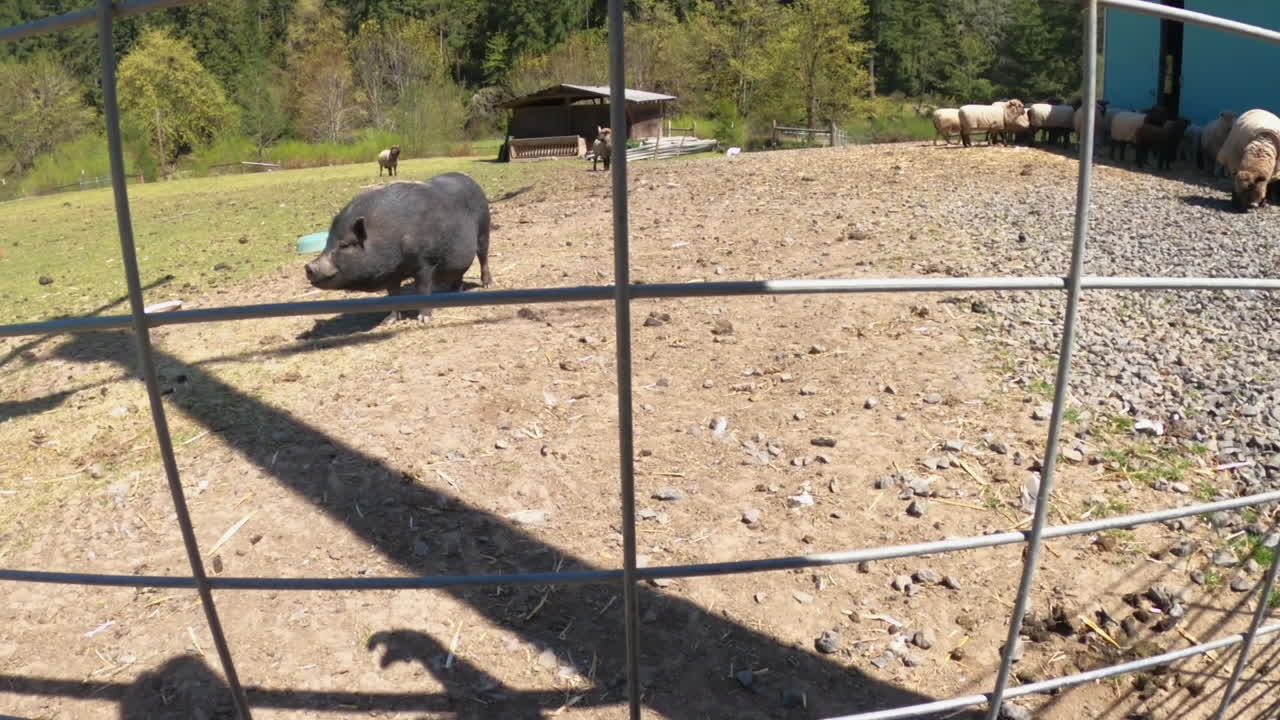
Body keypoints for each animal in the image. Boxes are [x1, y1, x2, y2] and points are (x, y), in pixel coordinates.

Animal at [303, 172, 492, 324]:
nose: (308, 266)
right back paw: (453, 291)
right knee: (460, 270)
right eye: (327, 242)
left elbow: (422, 289)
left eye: (344, 244)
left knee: (483, 257)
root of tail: (470, 180)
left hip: (484, 229)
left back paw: (487, 285)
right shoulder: (391, 274)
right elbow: (393, 295)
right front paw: (388, 321)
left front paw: (423, 320)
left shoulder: (426, 263)